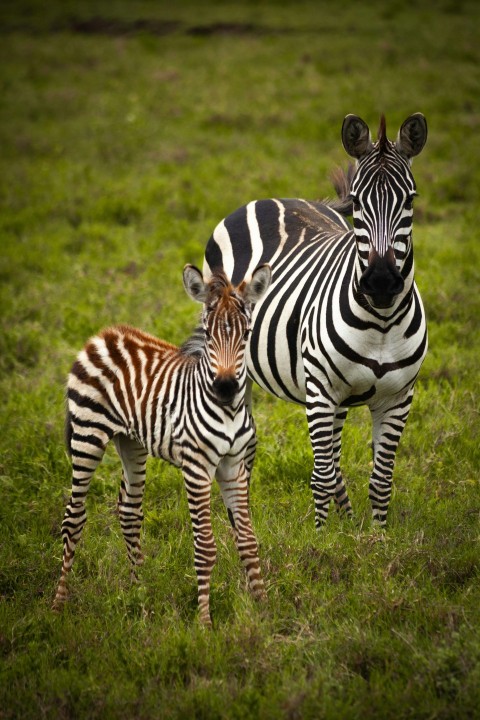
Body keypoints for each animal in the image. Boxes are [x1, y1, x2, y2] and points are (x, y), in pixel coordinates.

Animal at [53, 262, 272, 624]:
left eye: (246, 335)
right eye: (208, 336)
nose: (226, 387)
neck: (227, 409)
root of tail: (104, 334)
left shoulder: (234, 464)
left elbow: (248, 540)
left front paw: (263, 608)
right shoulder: (197, 467)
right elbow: (205, 547)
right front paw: (204, 621)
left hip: (131, 442)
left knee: (129, 510)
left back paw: (141, 592)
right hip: (87, 434)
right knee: (73, 516)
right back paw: (59, 602)